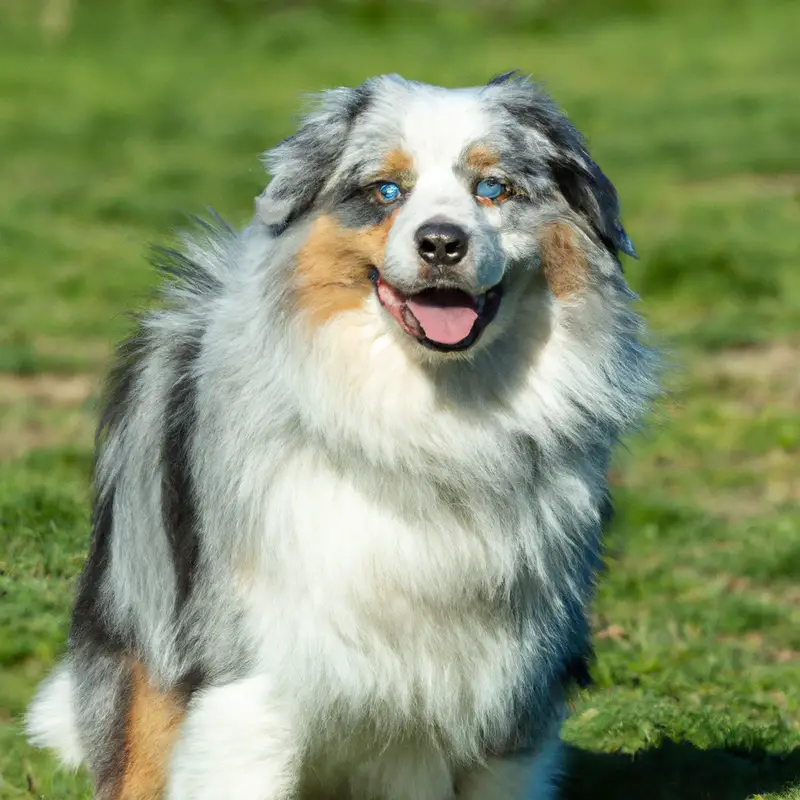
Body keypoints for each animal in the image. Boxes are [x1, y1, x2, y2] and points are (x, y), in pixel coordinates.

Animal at [26, 72, 656, 796]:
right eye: (386, 191)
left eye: (493, 188)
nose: (442, 243)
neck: (431, 420)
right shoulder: (252, 673)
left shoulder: (510, 697)